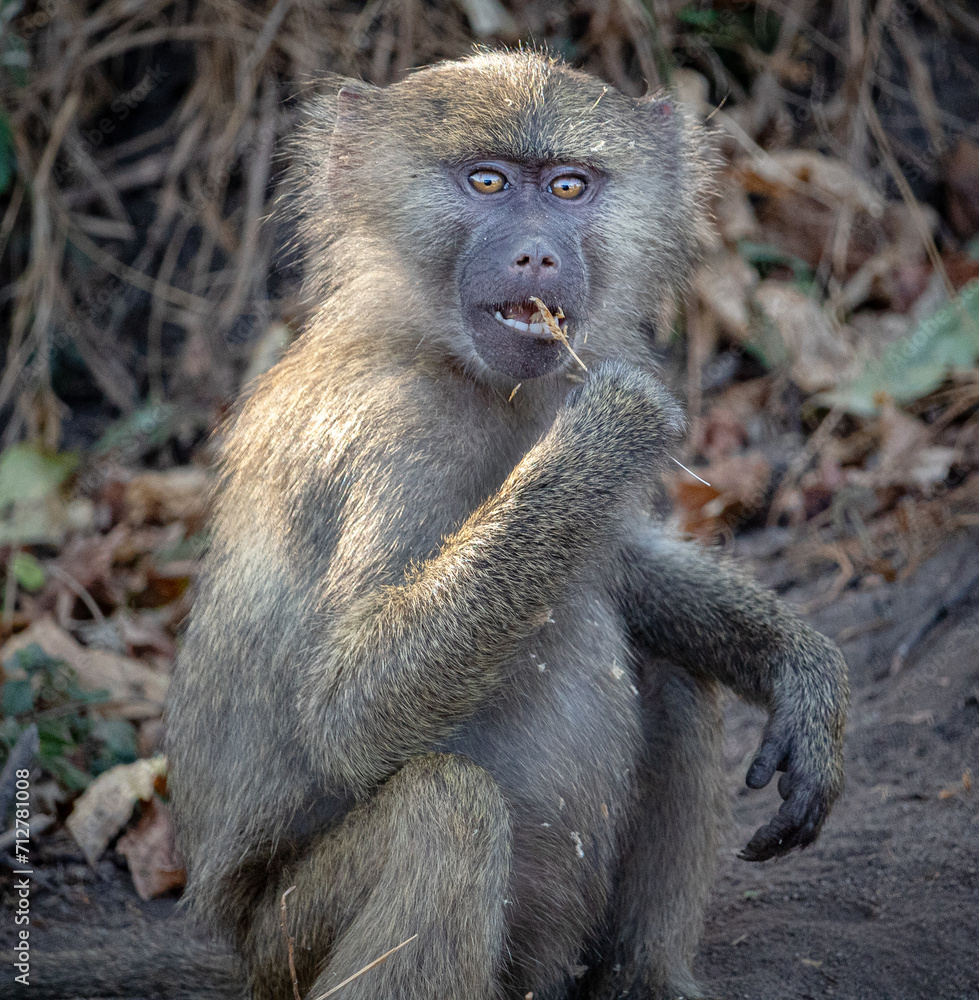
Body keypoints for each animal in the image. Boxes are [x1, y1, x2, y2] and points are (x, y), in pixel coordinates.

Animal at [15, 49, 847, 1000]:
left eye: (568, 186)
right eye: (486, 181)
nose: (537, 253)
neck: (453, 361)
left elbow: (620, 564)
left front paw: (797, 669)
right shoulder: (394, 432)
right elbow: (347, 712)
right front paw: (616, 424)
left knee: (673, 673)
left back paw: (644, 981)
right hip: (284, 942)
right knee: (444, 810)